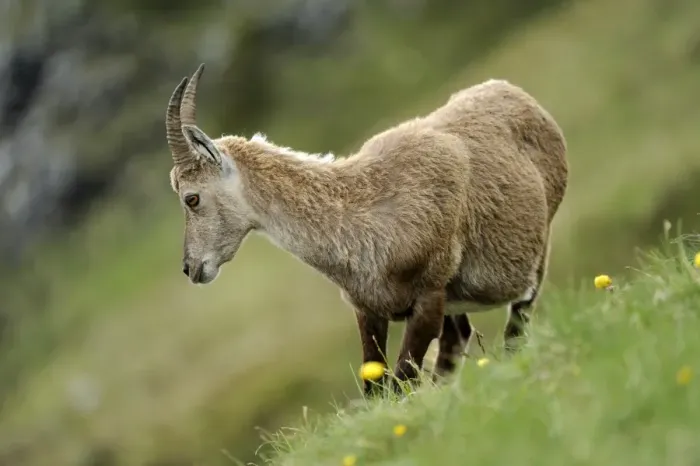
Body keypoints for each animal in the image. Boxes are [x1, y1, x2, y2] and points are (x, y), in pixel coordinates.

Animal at [165, 64, 568, 396]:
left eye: (191, 198)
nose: (190, 267)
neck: (361, 212)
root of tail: (515, 93)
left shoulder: (429, 296)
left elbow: (403, 377)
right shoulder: (368, 309)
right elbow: (377, 387)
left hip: (538, 250)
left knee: (516, 323)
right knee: (457, 342)